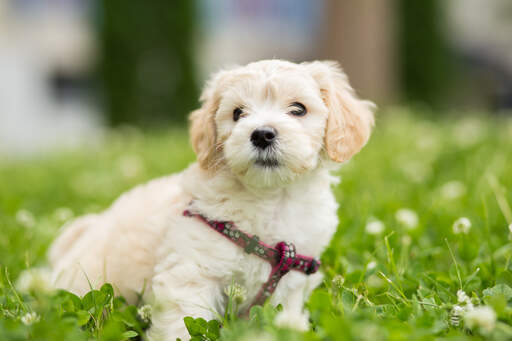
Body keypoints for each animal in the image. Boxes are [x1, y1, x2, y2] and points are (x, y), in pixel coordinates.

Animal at [49, 59, 376, 338]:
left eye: (298, 109)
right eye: (237, 113)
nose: (262, 134)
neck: (270, 198)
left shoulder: (292, 283)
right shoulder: (191, 271)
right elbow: (183, 326)